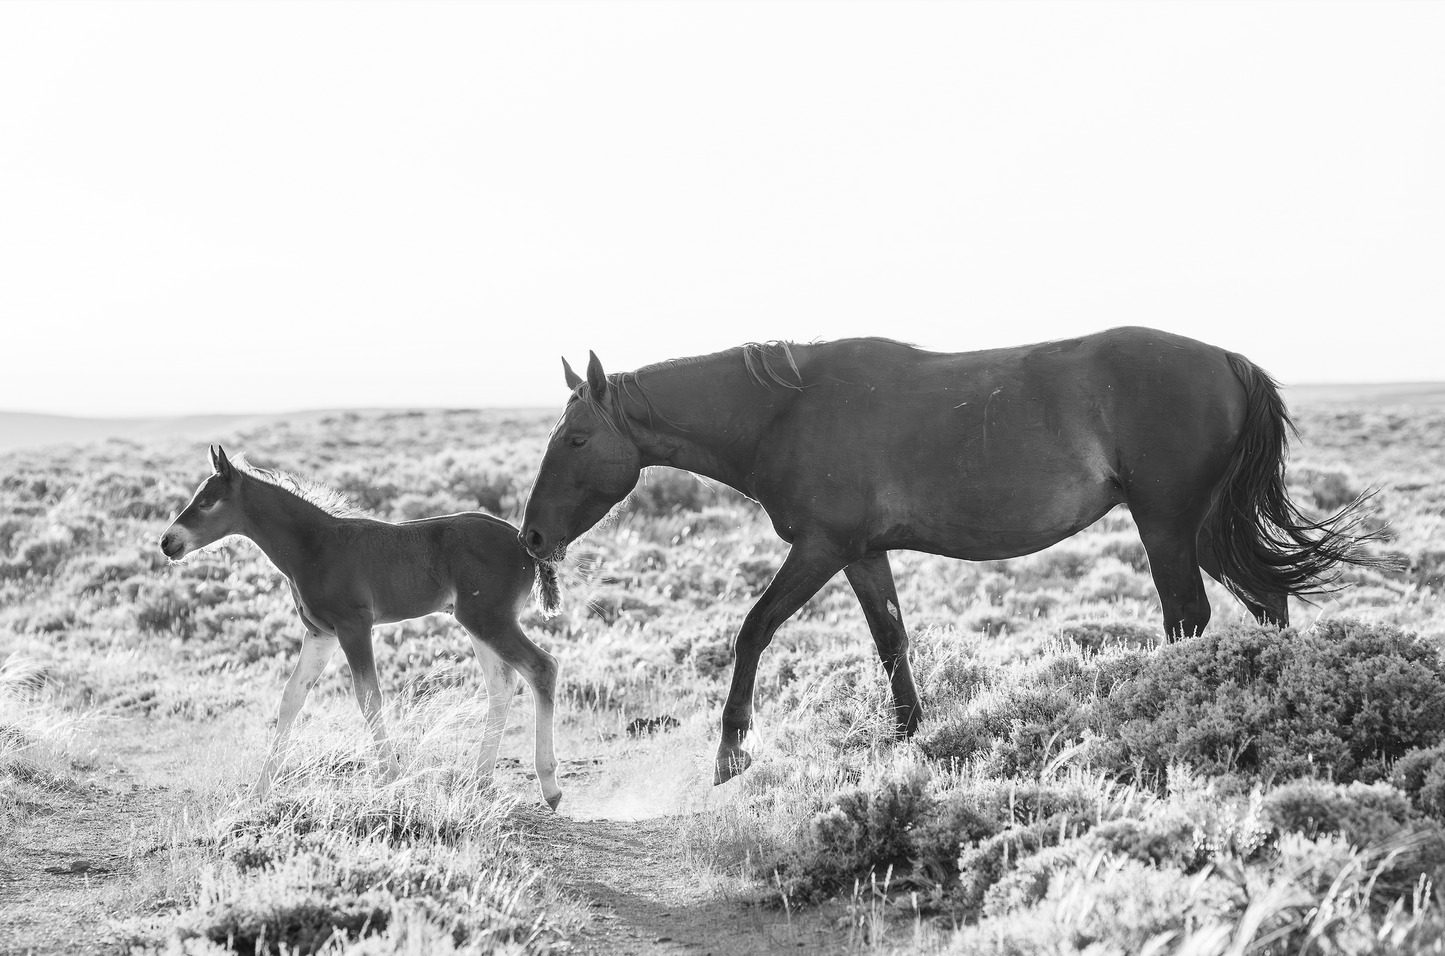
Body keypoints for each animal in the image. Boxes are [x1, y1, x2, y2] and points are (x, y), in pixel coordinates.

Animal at [160, 446, 564, 808]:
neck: (315, 545)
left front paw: (392, 778)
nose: (167, 542)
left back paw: (548, 786)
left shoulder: (353, 625)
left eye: (207, 502)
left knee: (541, 667)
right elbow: (292, 697)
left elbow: (368, 696)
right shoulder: (321, 633)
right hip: (476, 622)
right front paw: (259, 791)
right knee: (501, 683)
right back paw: (479, 780)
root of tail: (525, 544)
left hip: (488, 619)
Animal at [518, 327, 1386, 785]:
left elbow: (753, 629)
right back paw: (1264, 700)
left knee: (1188, 616)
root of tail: (1227, 360)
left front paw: (733, 748)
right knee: (1264, 600)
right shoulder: (861, 553)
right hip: (1202, 526)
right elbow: (890, 640)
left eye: (577, 439)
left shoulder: (819, 548)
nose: (530, 537)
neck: (785, 411)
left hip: (1167, 523)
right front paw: (910, 740)